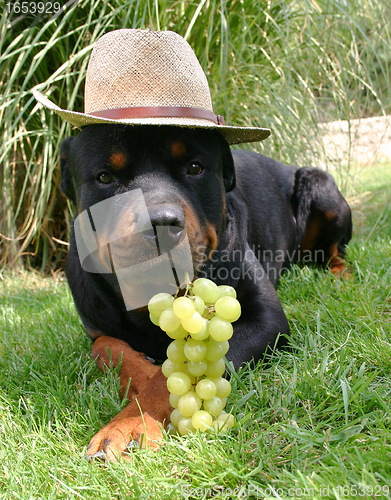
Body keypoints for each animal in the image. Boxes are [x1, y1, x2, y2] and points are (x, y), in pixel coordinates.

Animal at [59, 123, 354, 458]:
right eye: (105, 177)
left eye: (195, 168)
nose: (160, 223)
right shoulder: (95, 322)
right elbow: (105, 345)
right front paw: (142, 373)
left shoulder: (265, 320)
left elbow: (170, 378)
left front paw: (130, 423)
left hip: (321, 189)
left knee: (335, 252)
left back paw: (340, 275)